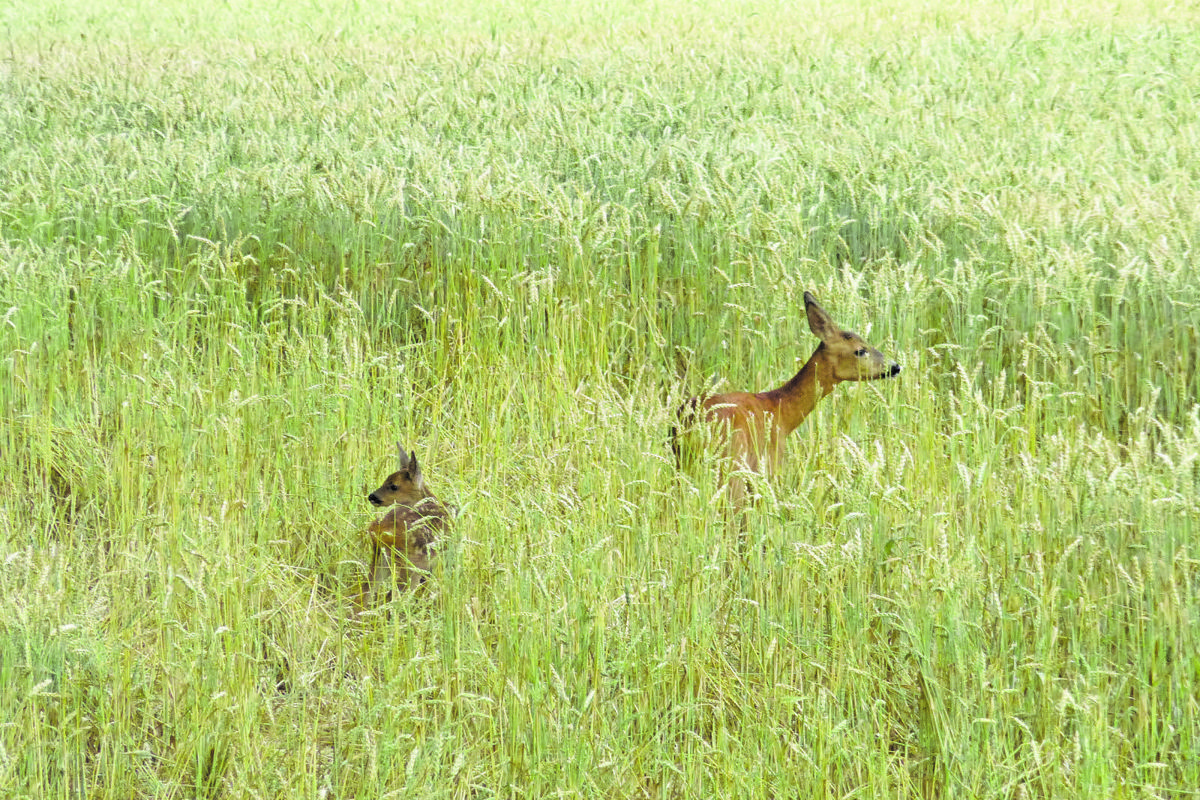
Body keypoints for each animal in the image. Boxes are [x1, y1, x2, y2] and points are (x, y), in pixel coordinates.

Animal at [357, 443, 451, 614]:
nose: (372, 496)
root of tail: (379, 530)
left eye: (393, 485)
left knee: (364, 593)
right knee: (392, 598)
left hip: (381, 559)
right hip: (411, 564)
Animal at [672, 293, 897, 513]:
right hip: (730, 465)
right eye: (860, 350)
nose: (895, 367)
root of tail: (692, 423)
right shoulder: (769, 466)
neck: (780, 410)